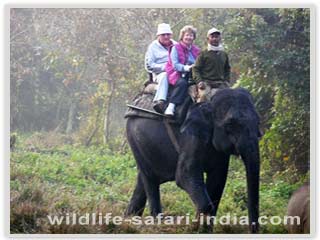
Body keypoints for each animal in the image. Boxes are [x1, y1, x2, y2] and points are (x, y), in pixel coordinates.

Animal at [124, 87, 262, 232]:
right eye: (230, 124)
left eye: (258, 122)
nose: (254, 230)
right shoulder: (190, 135)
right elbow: (185, 174)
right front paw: (194, 227)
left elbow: (218, 179)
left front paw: (204, 229)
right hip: (134, 138)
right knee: (150, 179)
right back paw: (156, 222)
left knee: (142, 180)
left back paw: (129, 219)